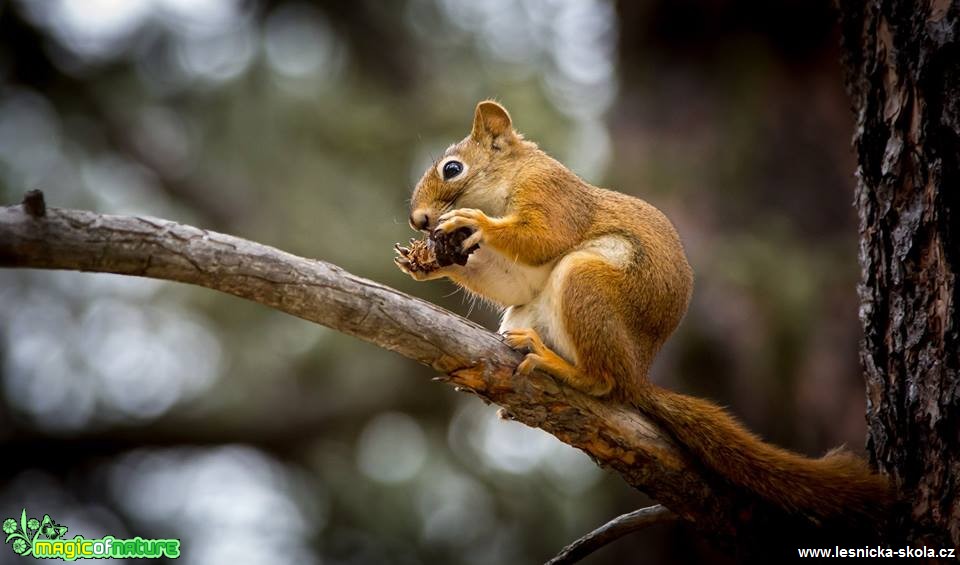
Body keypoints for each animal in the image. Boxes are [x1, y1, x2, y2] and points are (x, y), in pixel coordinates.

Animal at [394, 100, 888, 528]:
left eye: (452, 168)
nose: (419, 220)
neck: (512, 177)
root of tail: (639, 374)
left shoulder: (553, 195)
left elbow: (542, 236)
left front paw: (473, 222)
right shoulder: (520, 275)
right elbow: (512, 279)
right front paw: (426, 262)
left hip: (586, 284)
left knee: (604, 382)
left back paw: (557, 364)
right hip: (528, 312)